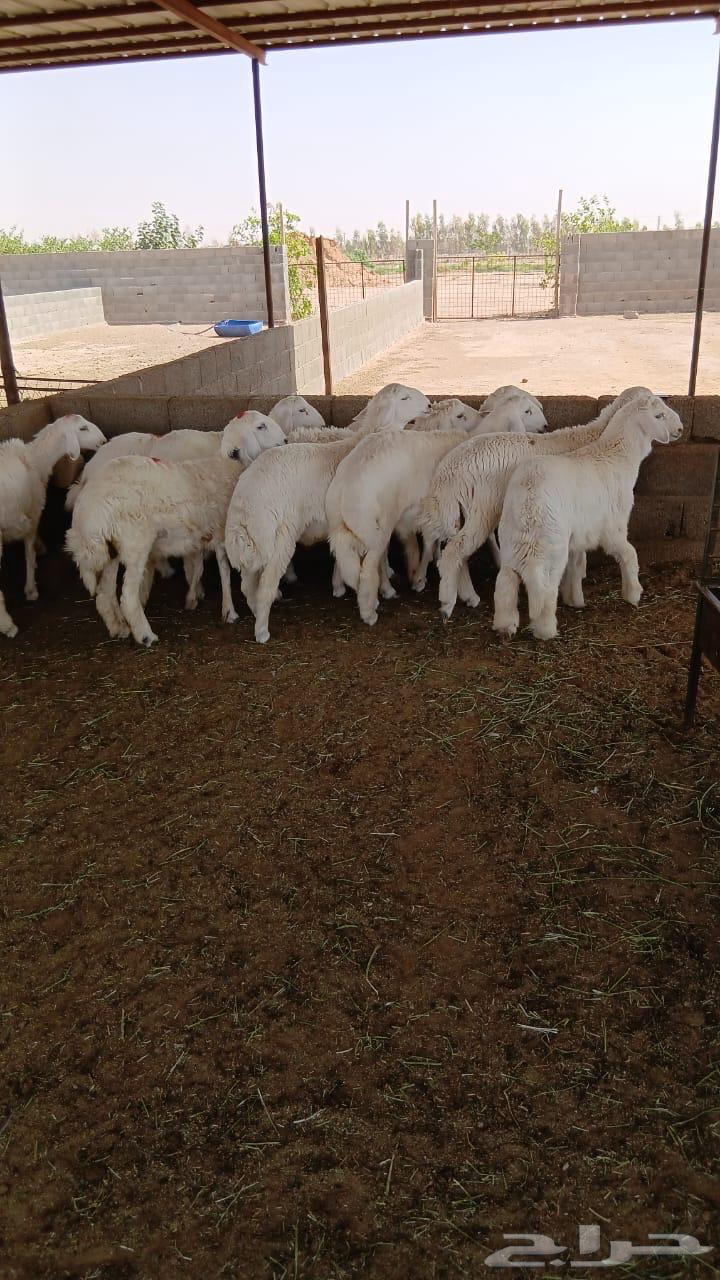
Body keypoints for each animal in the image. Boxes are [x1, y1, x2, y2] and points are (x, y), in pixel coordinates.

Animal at [0, 414, 106, 638]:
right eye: (82, 428)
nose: (103, 440)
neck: (35, 459)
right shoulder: (32, 514)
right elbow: (29, 554)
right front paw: (31, 589)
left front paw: (41, 547)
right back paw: (8, 626)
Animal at [66, 412, 286, 647]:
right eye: (261, 426)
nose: (285, 440)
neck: (224, 466)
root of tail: (88, 507)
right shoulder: (221, 532)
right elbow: (224, 570)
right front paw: (229, 610)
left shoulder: (201, 533)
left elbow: (198, 567)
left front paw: (193, 597)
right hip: (135, 544)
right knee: (127, 597)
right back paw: (145, 635)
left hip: (109, 550)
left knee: (104, 595)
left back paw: (119, 628)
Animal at [326, 389, 548, 627]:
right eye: (527, 411)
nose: (545, 427)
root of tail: (346, 483)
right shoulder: (461, 507)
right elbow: (461, 550)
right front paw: (466, 592)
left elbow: (438, 542)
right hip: (380, 520)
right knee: (369, 564)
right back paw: (370, 609)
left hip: (353, 522)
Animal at [419, 386, 653, 620]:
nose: (545, 425)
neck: (596, 438)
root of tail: (448, 472)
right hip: (482, 508)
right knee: (455, 552)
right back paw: (450, 603)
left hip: (459, 511)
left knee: (457, 549)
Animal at [493, 392, 683, 642]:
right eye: (658, 415)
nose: (680, 429)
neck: (617, 457)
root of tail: (527, 507)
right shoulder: (613, 527)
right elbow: (629, 555)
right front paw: (633, 593)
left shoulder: (579, 534)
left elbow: (577, 564)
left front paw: (575, 598)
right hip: (550, 550)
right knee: (545, 594)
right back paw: (546, 631)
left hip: (511, 545)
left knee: (505, 585)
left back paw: (505, 627)